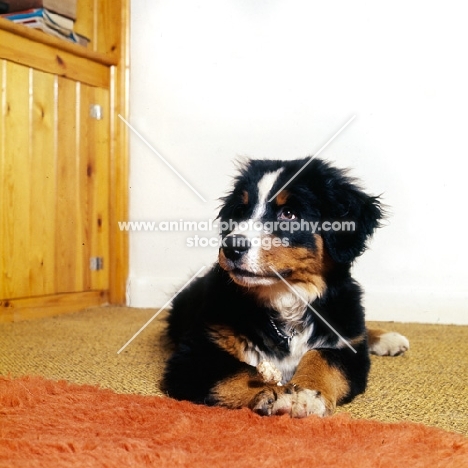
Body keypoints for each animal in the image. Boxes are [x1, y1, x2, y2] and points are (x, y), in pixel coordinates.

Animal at [162, 157, 410, 416]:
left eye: (289, 214)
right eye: (240, 211)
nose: (231, 247)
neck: (286, 299)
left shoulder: (349, 352)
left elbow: (322, 357)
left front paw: (308, 394)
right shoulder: (197, 352)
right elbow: (240, 373)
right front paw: (277, 394)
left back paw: (388, 338)